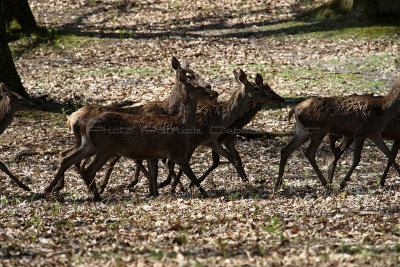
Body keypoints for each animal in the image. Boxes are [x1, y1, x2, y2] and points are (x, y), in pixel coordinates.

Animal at [44, 69, 217, 201]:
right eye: (196, 86)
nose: (214, 92)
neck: (181, 123)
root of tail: (77, 120)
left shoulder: (153, 154)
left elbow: (154, 175)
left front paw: (154, 193)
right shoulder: (177, 150)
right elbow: (190, 174)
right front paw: (203, 192)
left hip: (89, 145)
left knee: (68, 158)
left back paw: (50, 189)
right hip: (105, 148)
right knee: (87, 168)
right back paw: (96, 195)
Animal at [276, 59, 400, 192]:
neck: (383, 110)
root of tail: (294, 109)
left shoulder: (374, 134)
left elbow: (390, 155)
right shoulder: (360, 132)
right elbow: (357, 159)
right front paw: (342, 183)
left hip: (302, 131)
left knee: (286, 150)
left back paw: (278, 184)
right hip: (318, 129)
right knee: (309, 152)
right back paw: (325, 183)